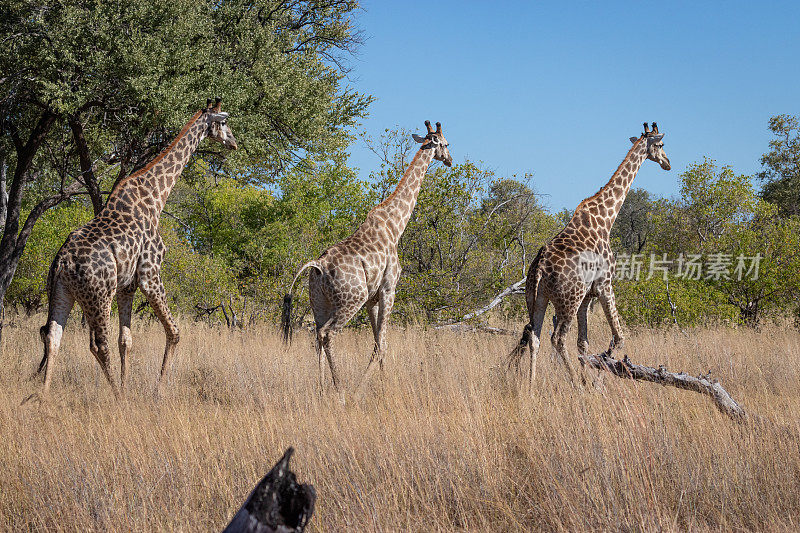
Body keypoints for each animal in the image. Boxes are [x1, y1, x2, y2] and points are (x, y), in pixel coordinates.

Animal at [35, 97, 238, 396]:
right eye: (223, 122)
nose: (233, 142)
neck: (156, 197)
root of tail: (63, 262)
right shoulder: (149, 273)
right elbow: (174, 332)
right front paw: (157, 391)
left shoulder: (127, 286)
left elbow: (126, 341)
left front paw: (129, 383)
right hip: (99, 294)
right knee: (98, 344)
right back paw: (118, 397)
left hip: (61, 291)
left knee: (52, 337)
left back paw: (43, 397)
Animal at [282, 119, 454, 394]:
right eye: (446, 144)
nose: (449, 160)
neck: (396, 225)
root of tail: (317, 265)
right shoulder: (388, 288)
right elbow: (381, 344)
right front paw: (365, 388)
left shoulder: (373, 298)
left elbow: (377, 341)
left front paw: (383, 383)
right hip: (351, 300)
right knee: (328, 334)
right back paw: (341, 388)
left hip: (319, 303)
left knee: (316, 335)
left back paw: (321, 387)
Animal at [510, 122, 672, 388]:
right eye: (660, 145)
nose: (667, 163)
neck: (606, 218)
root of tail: (540, 267)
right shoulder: (605, 284)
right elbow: (619, 337)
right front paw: (597, 379)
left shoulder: (588, 295)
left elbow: (583, 343)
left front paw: (590, 377)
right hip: (569, 299)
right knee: (557, 338)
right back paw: (575, 383)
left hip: (536, 298)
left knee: (535, 336)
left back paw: (532, 386)